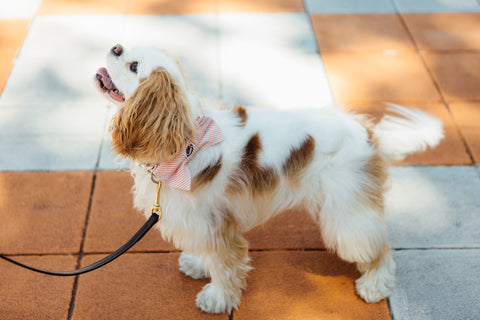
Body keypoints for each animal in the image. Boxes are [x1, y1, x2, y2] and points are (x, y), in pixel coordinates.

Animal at [95, 43, 444, 314]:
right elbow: (208, 254)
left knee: (377, 246)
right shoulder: (201, 223)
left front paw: (217, 299)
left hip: (347, 216)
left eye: (134, 65)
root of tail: (367, 132)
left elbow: (224, 265)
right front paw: (199, 265)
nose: (115, 46)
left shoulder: (216, 225)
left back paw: (374, 285)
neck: (183, 143)